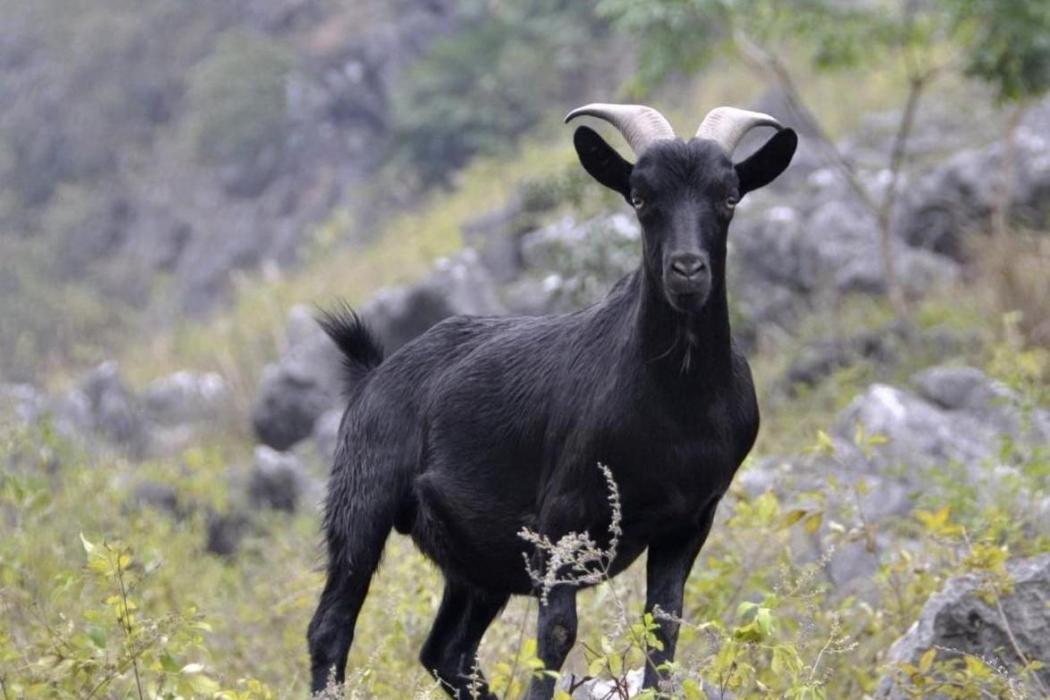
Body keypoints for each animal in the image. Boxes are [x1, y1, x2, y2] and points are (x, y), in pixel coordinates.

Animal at [306, 103, 793, 700]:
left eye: (729, 196)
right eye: (640, 198)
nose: (686, 270)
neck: (676, 408)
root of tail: (372, 372)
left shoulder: (689, 521)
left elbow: (664, 625)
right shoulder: (562, 521)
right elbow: (557, 634)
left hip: (478, 562)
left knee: (446, 651)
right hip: (362, 501)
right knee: (332, 628)